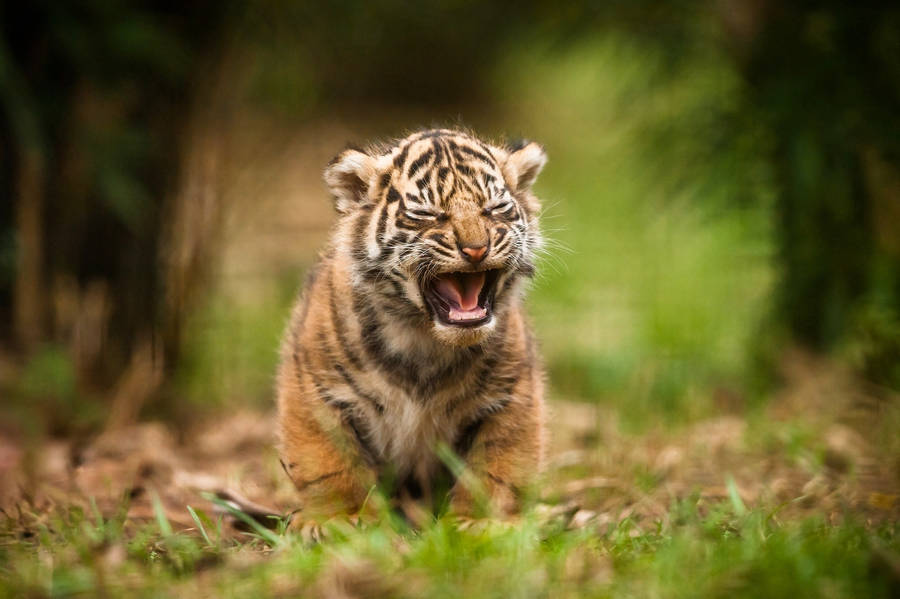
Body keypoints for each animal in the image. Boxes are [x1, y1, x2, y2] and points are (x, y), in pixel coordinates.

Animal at [276, 128, 547, 535]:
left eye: (494, 209)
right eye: (428, 215)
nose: (476, 249)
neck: (424, 337)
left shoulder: (512, 394)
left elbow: (496, 467)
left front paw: (480, 521)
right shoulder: (316, 389)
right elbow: (329, 461)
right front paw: (340, 519)